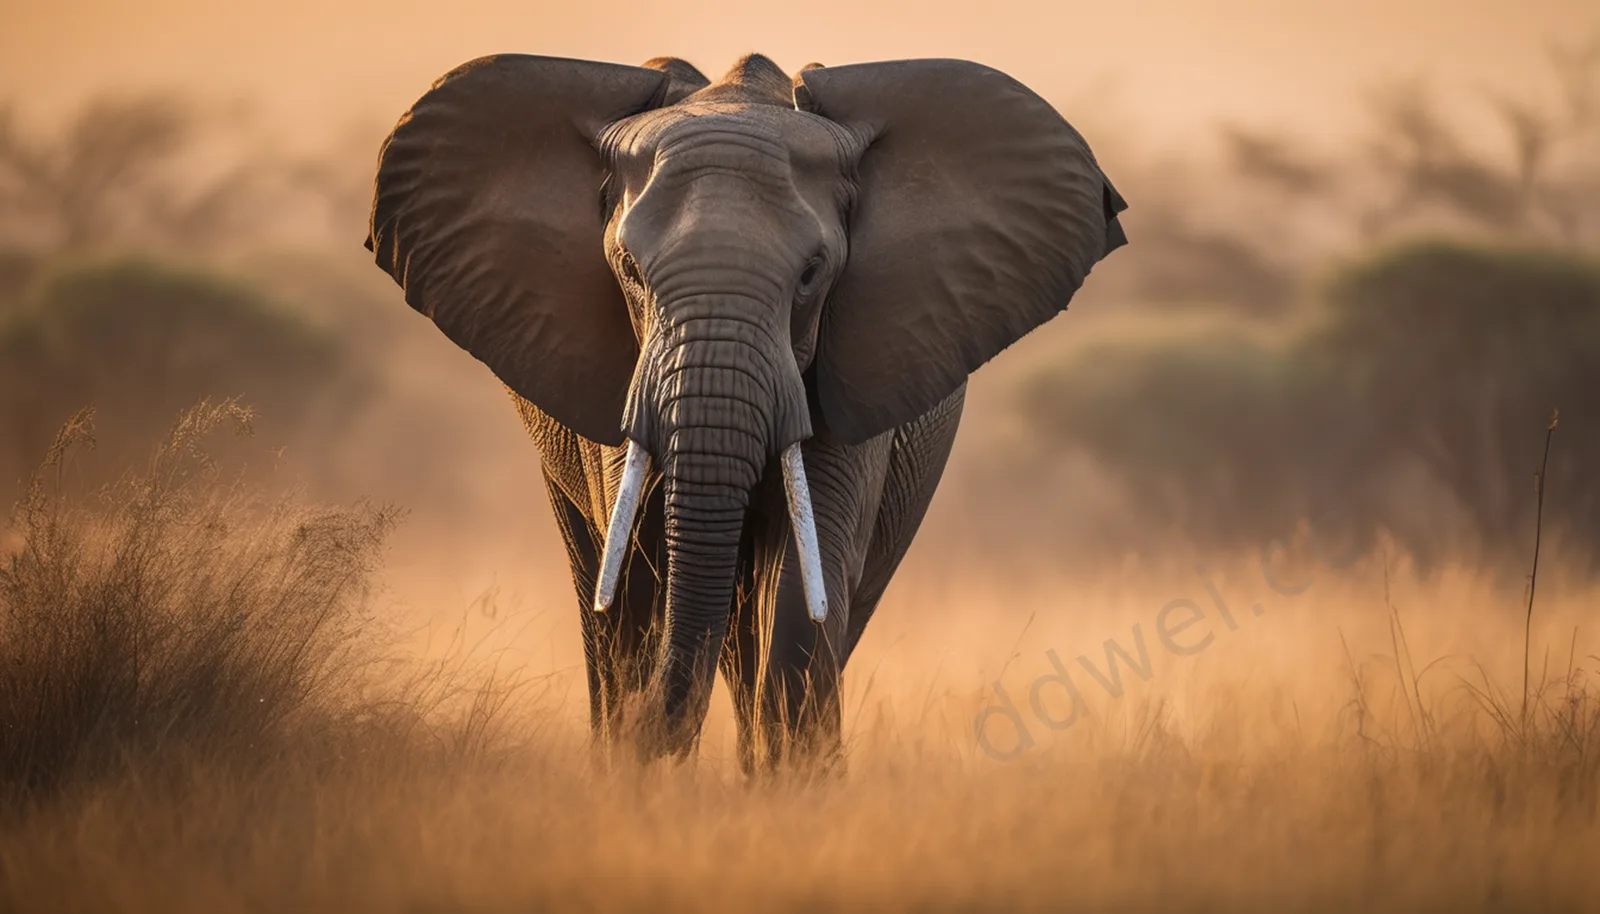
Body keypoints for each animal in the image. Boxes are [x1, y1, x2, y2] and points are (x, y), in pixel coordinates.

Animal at [366, 52, 1126, 770]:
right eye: (630, 271)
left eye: (813, 273)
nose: (654, 738)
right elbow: (639, 575)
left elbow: (801, 585)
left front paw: (790, 794)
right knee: (609, 601)